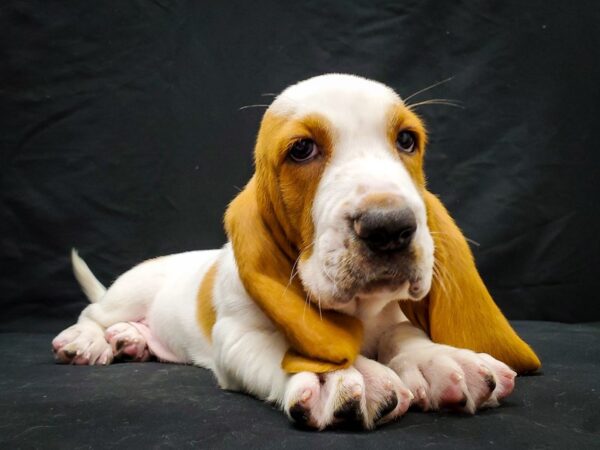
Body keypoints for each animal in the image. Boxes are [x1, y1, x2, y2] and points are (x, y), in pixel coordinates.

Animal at [50, 73, 540, 428]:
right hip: (126, 293)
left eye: (407, 141)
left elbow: (404, 335)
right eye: (302, 149)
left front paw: (441, 361)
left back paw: (131, 341)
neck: (358, 310)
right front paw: (343, 373)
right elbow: (289, 345)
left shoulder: (391, 316)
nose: (390, 228)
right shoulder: (239, 335)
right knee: (93, 314)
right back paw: (87, 341)